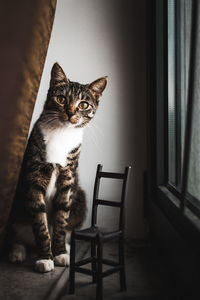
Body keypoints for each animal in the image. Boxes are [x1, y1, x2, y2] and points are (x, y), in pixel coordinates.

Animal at [7, 62, 108, 272]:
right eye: (61, 99)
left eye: (83, 104)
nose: (70, 113)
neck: (62, 133)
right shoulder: (34, 174)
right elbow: (40, 220)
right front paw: (45, 258)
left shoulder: (68, 176)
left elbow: (61, 219)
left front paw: (60, 252)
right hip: (15, 202)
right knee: (15, 232)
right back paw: (17, 252)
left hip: (80, 198)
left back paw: (67, 247)